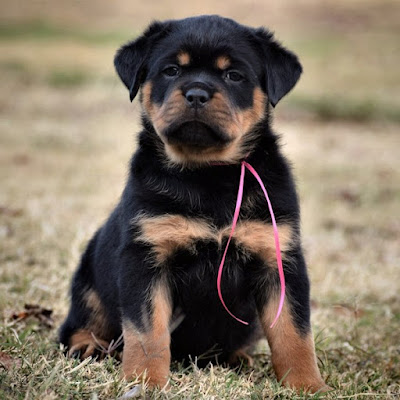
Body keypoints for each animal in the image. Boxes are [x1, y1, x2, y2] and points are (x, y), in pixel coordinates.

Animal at [59, 14, 328, 392]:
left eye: (233, 75)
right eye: (171, 70)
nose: (197, 93)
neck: (210, 174)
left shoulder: (279, 257)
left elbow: (294, 333)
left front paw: (306, 385)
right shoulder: (146, 258)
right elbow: (147, 333)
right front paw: (145, 380)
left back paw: (238, 359)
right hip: (89, 280)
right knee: (80, 323)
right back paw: (86, 347)